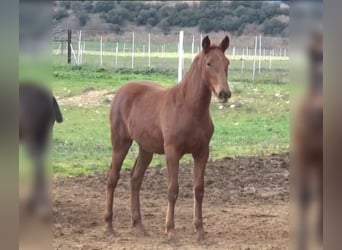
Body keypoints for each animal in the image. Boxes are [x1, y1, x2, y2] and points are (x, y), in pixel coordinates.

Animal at [105, 36, 231, 241]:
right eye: (209, 63)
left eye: (227, 63)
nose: (224, 93)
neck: (189, 107)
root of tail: (121, 91)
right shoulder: (173, 151)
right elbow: (173, 189)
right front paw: (170, 230)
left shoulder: (202, 152)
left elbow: (199, 189)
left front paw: (200, 231)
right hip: (120, 142)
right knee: (112, 178)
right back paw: (108, 225)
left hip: (146, 149)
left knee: (136, 179)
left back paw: (139, 225)